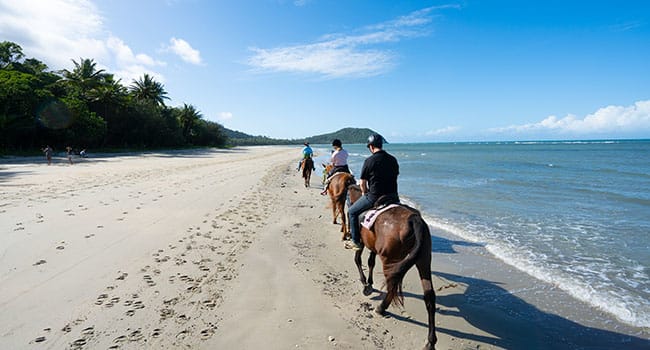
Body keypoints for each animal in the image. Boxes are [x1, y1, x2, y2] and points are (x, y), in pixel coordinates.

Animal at [350, 185, 436, 348]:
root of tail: (414, 219)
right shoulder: (373, 247)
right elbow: (371, 262)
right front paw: (369, 283)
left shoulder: (362, 243)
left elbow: (358, 259)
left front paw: (365, 284)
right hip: (424, 260)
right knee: (429, 296)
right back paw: (430, 342)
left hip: (390, 260)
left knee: (391, 286)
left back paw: (381, 308)